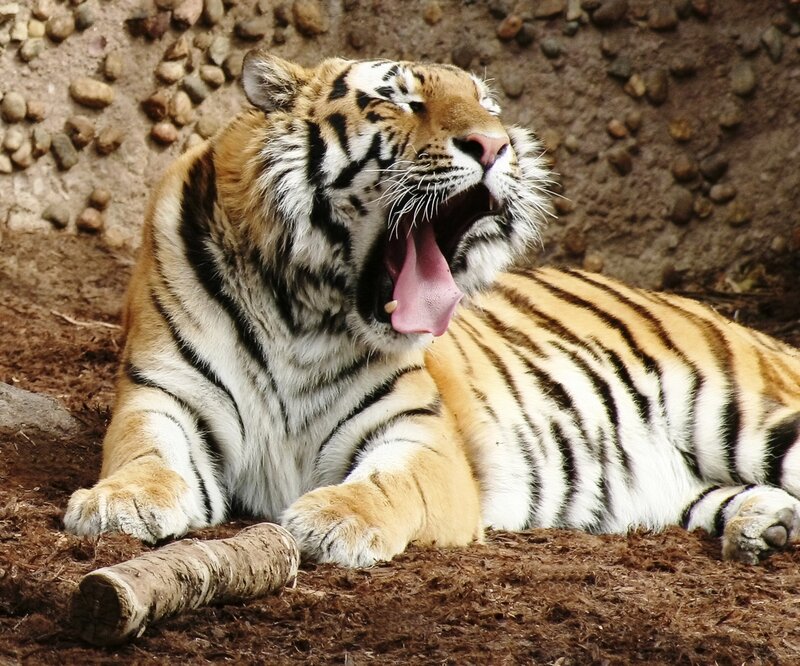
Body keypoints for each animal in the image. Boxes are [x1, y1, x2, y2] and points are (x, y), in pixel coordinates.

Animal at [64, 50, 800, 567]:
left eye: (488, 105)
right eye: (400, 102)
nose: (496, 145)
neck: (303, 308)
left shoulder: (418, 435)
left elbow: (388, 486)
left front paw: (335, 520)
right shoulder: (164, 397)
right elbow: (147, 454)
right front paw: (120, 504)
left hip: (758, 417)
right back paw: (766, 527)